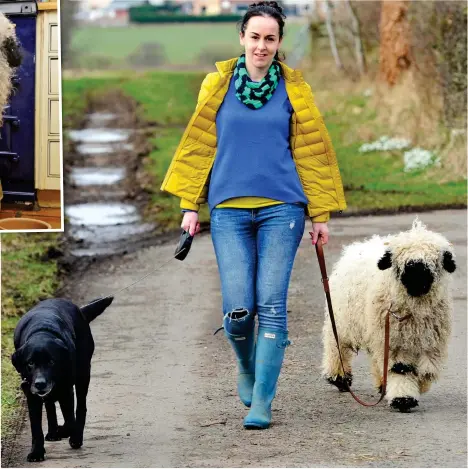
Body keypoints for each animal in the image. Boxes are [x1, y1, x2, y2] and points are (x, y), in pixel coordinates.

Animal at [11, 296, 113, 460]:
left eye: (52, 362)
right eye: (30, 363)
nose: (40, 383)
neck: (42, 331)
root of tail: (80, 310)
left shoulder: (66, 389)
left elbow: (70, 419)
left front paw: (67, 432)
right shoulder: (31, 393)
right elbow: (36, 428)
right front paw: (36, 452)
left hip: (83, 374)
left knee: (80, 408)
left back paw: (75, 437)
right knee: (50, 405)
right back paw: (53, 432)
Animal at [324, 218, 456, 412]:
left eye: (433, 262)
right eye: (402, 263)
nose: (416, 280)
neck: (413, 310)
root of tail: (361, 245)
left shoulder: (431, 342)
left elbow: (427, 370)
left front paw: (420, 386)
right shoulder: (395, 342)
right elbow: (400, 369)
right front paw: (403, 399)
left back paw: (382, 384)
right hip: (343, 320)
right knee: (336, 345)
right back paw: (339, 377)